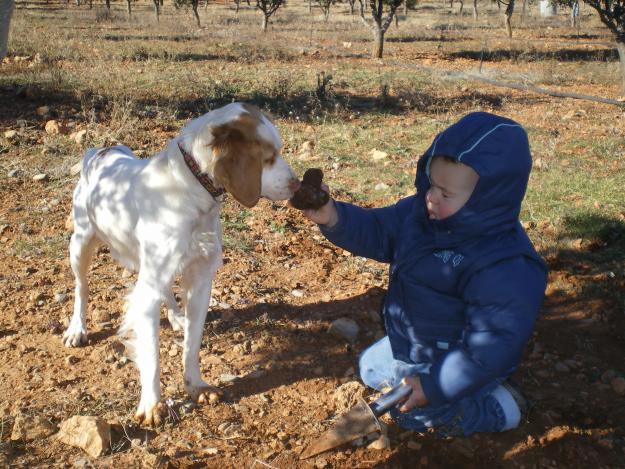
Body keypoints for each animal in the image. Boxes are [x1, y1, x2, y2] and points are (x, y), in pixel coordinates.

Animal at [64, 102, 298, 424]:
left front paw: (196, 385)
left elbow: (191, 344)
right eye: (268, 157)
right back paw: (77, 327)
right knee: (81, 287)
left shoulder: (200, 280)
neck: (190, 187)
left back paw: (175, 316)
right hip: (81, 243)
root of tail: (102, 151)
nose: (298, 184)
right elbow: (151, 353)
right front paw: (151, 404)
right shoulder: (148, 289)